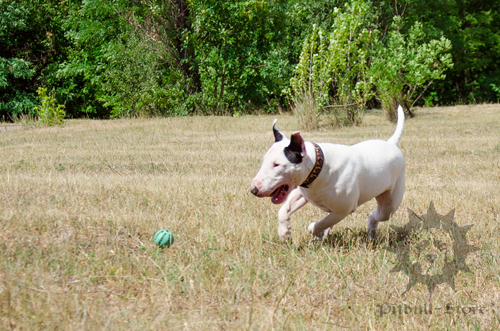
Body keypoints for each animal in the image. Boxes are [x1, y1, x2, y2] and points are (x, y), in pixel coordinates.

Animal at [250, 106, 406, 239]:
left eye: (277, 164)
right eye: (264, 161)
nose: (253, 190)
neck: (319, 167)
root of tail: (391, 143)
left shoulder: (343, 210)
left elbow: (319, 225)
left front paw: (315, 229)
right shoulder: (303, 193)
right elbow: (283, 210)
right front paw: (285, 233)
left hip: (390, 202)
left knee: (378, 213)